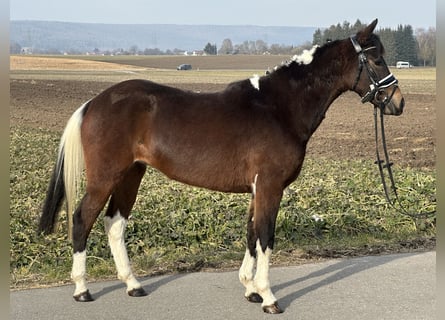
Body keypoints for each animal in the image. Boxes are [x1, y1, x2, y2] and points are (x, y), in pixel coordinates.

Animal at [40, 19, 404, 312]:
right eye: (376, 58)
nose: (397, 103)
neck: (278, 108)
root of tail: (94, 102)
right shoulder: (270, 186)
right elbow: (266, 235)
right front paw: (268, 297)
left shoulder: (258, 189)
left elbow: (251, 234)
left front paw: (250, 289)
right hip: (106, 176)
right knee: (82, 219)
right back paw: (82, 289)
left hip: (132, 174)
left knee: (115, 223)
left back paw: (133, 285)